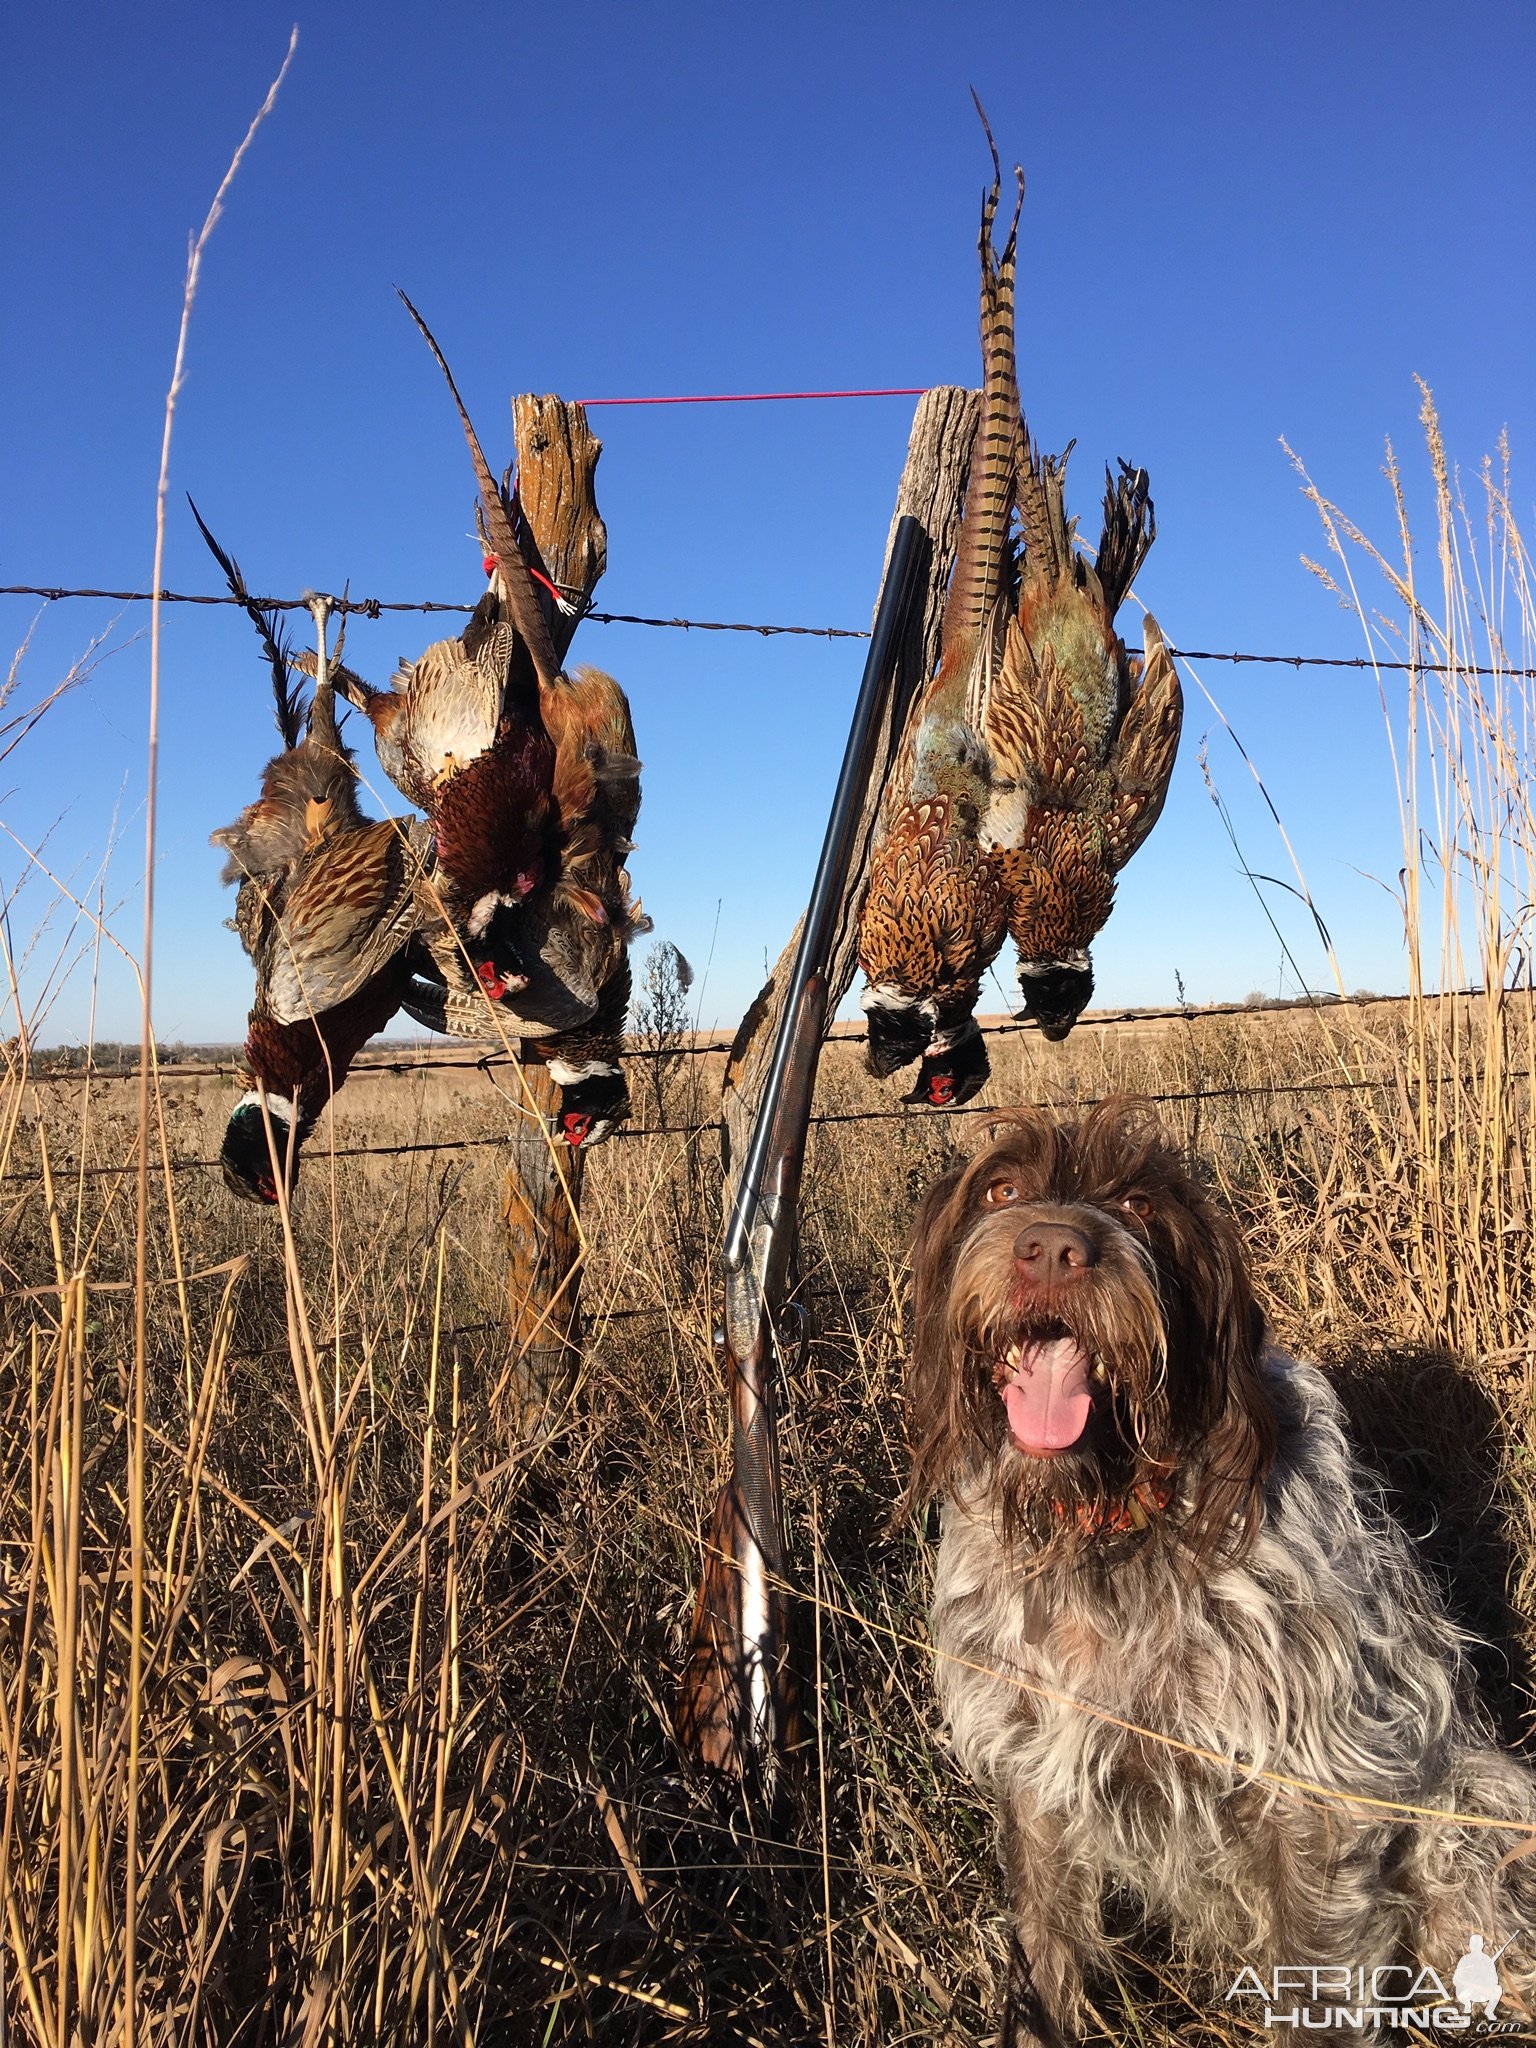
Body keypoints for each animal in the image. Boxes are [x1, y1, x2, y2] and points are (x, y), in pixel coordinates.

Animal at [909, 1105, 1536, 2048]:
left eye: (1139, 1202)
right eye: (1003, 1189)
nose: (1051, 1249)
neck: (1108, 1518)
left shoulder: (1314, 1794)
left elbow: (1314, 1984)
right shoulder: (1032, 1768)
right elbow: (1044, 1942)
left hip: (1473, 1813)